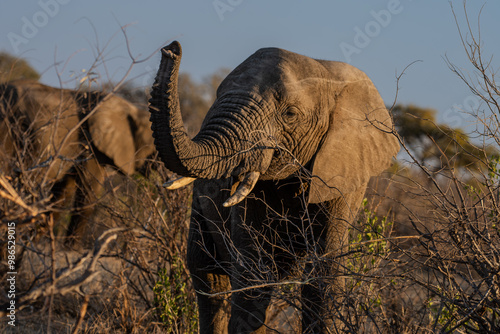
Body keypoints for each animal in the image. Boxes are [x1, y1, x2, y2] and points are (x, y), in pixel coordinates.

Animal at [147, 42, 398, 334]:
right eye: (218, 95)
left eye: (290, 114)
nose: (171, 49)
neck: (327, 72)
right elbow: (254, 268)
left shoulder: (344, 177)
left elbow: (324, 272)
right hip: (199, 207)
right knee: (209, 281)